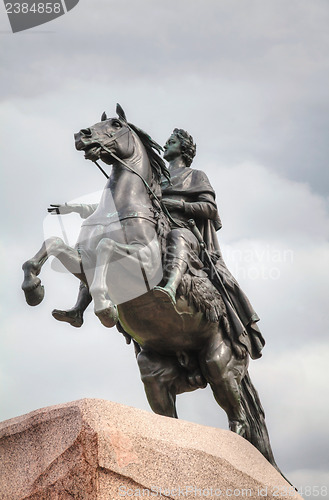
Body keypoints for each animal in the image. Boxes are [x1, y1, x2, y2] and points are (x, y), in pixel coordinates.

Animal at [21, 104, 280, 476]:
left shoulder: (140, 262)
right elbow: (55, 243)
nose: (81, 135)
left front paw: (105, 307)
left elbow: (107, 248)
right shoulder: (83, 261)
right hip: (154, 373)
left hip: (219, 364)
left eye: (115, 124)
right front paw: (33, 288)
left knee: (241, 420)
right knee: (170, 416)